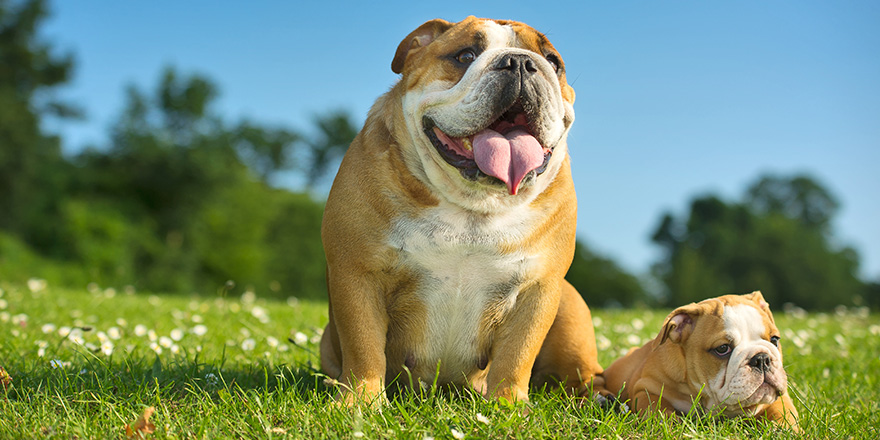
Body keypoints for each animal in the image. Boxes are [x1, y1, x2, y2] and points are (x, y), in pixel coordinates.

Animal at [322, 16, 604, 402]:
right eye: (465, 55)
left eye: (553, 61)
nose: (520, 62)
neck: (473, 204)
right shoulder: (358, 274)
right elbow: (364, 345)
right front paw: (360, 401)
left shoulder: (539, 287)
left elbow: (517, 354)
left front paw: (507, 405)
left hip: (570, 308)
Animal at [604, 290, 796, 432]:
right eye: (722, 349)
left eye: (774, 339)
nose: (762, 359)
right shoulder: (645, 389)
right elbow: (658, 409)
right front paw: (672, 426)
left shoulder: (779, 398)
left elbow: (783, 412)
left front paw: (784, 430)